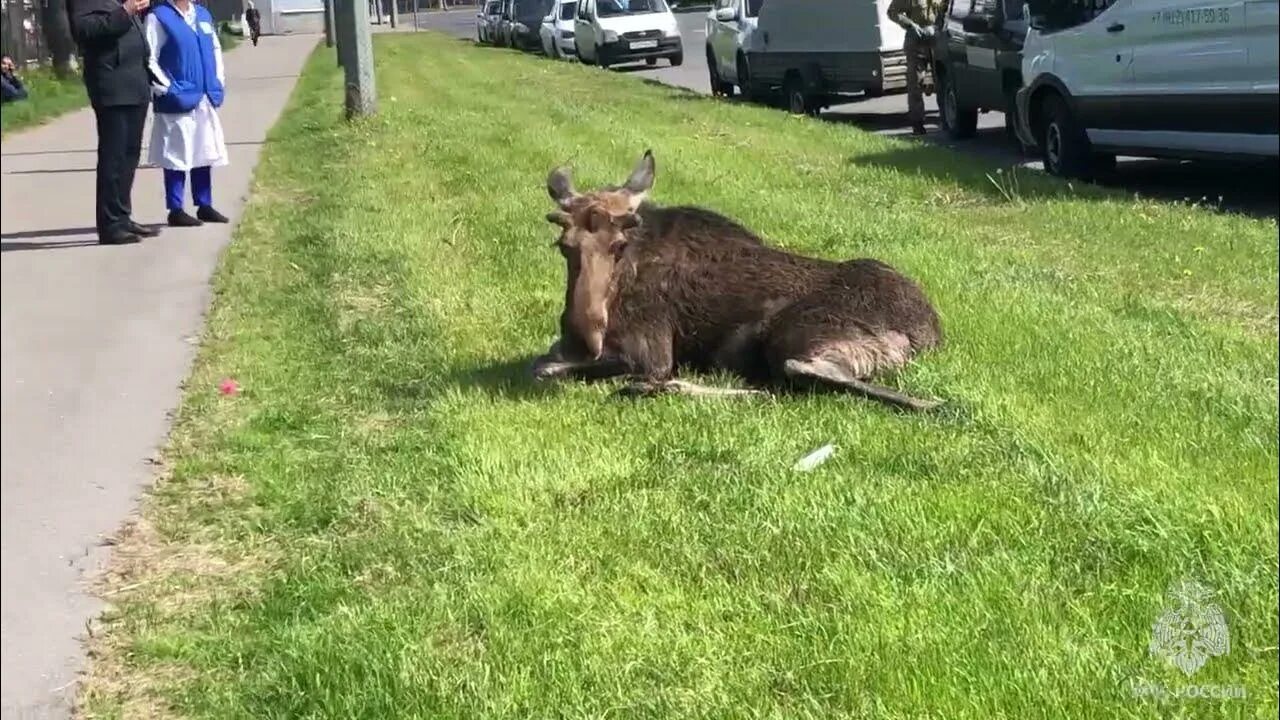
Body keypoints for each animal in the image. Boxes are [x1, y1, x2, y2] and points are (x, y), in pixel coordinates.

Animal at [527, 148, 942, 407]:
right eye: (563, 245)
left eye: (619, 244)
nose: (582, 339)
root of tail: (931, 332)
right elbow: (547, 360)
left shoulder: (649, 352)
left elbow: (545, 368)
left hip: (798, 334)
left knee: (801, 376)